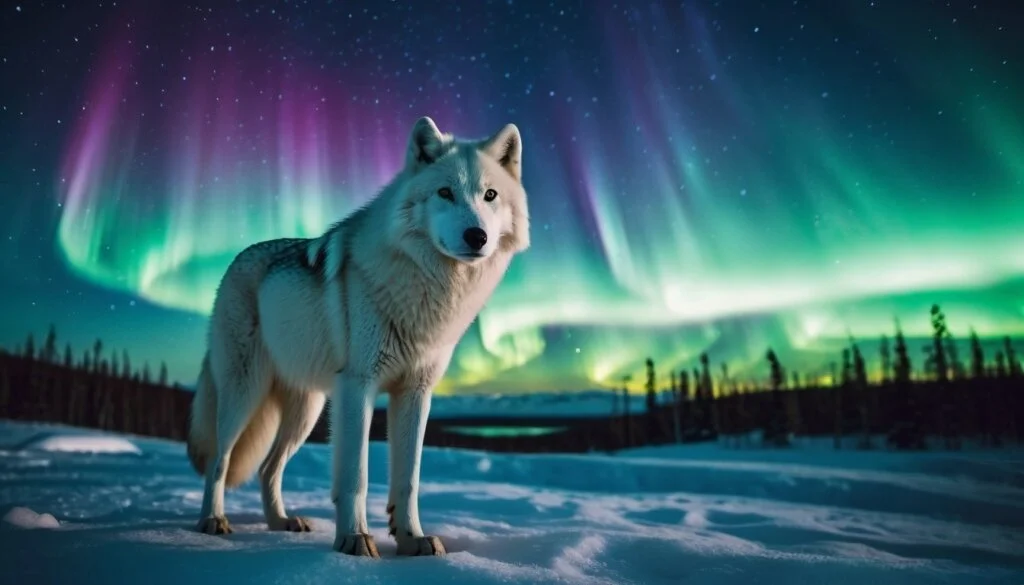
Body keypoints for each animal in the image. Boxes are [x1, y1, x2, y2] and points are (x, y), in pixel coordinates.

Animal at [185, 116, 529, 557]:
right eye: (445, 192)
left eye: (490, 195)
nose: (477, 236)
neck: (428, 289)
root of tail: (235, 261)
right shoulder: (357, 388)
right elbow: (356, 477)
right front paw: (354, 539)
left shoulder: (415, 393)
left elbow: (409, 479)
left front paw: (412, 539)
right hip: (244, 395)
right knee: (219, 460)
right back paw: (212, 520)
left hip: (307, 411)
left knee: (267, 467)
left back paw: (281, 522)